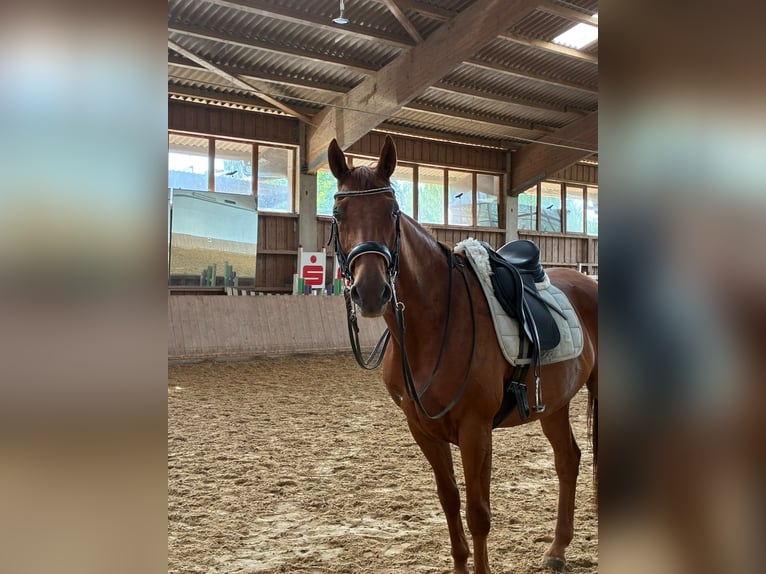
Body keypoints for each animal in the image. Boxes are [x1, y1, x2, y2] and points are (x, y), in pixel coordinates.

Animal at [327, 135, 598, 574]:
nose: (370, 292)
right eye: (338, 213)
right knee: (568, 460)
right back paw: (557, 549)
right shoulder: (422, 429)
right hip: (555, 404)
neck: (433, 326)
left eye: (392, 211)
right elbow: (450, 500)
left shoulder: (475, 430)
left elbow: (477, 513)